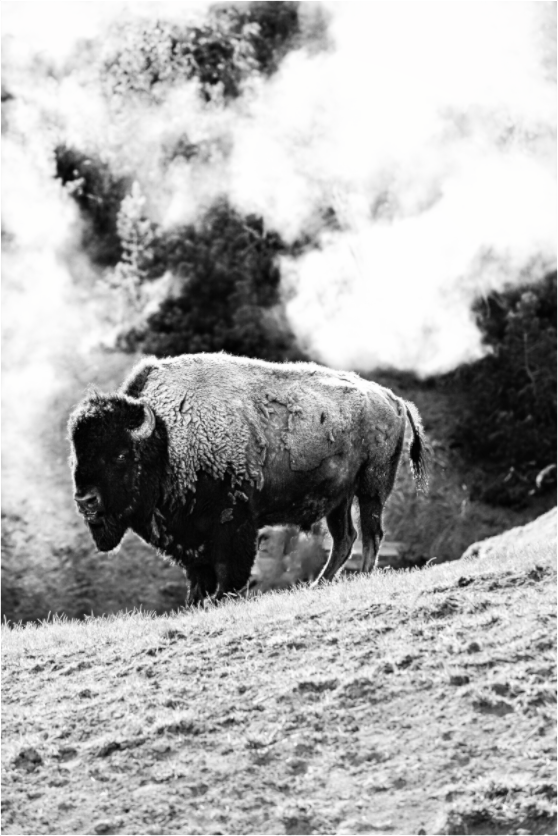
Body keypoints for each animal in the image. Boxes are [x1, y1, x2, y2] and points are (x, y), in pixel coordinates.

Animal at [69, 353, 427, 604]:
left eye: (119, 455)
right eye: (77, 456)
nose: (85, 501)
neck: (167, 438)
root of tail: (393, 399)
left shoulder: (233, 521)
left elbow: (230, 568)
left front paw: (221, 598)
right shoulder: (190, 535)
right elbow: (198, 573)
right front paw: (195, 601)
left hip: (372, 489)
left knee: (371, 533)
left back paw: (362, 575)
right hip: (338, 500)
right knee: (345, 538)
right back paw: (319, 584)